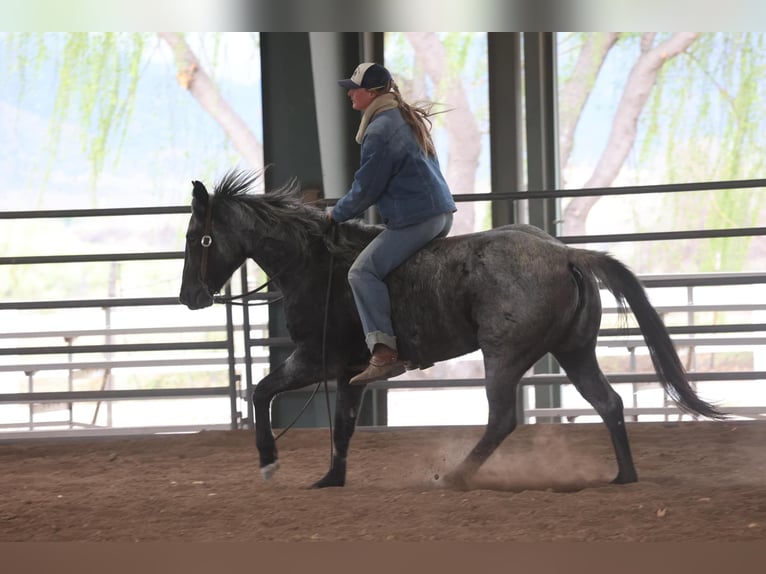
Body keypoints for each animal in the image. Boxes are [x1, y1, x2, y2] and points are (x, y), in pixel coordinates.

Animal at [179, 169, 724, 489]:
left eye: (196, 236)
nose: (190, 297)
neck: (316, 263)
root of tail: (565, 253)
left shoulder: (314, 359)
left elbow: (261, 391)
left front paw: (269, 460)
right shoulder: (349, 371)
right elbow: (342, 425)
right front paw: (331, 479)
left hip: (503, 356)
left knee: (502, 419)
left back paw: (457, 475)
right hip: (575, 352)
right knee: (608, 403)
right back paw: (623, 476)